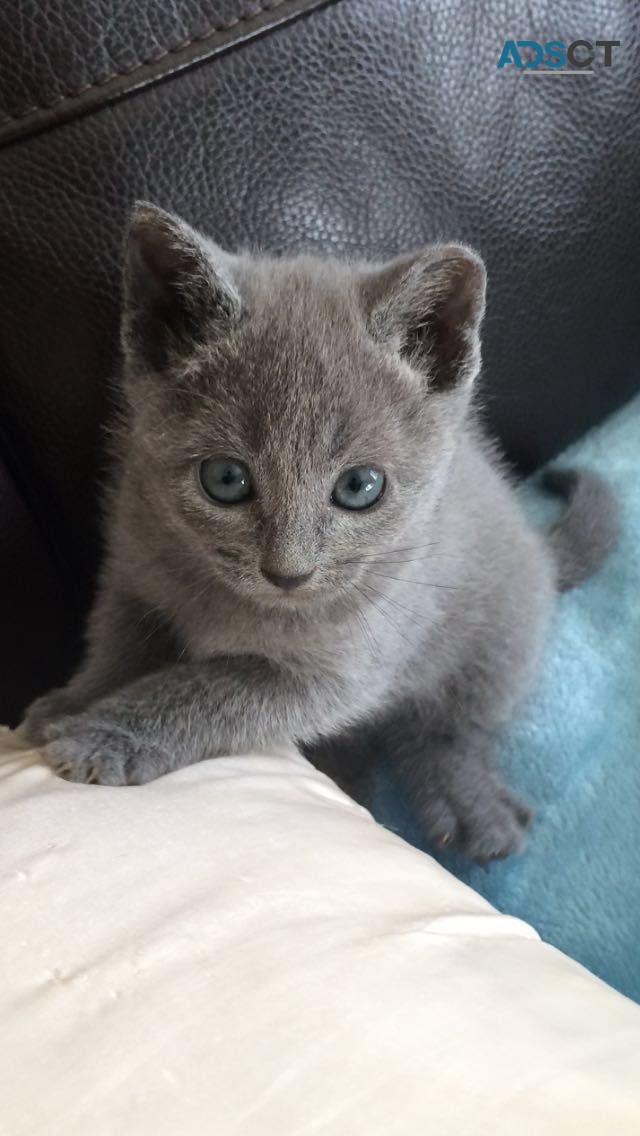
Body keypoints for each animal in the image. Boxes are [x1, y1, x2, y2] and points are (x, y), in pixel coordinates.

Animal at [22, 204, 618, 858]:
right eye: (224, 478)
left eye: (360, 486)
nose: (289, 571)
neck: (228, 599)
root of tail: (537, 545)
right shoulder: (132, 569)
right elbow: (117, 644)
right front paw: (72, 701)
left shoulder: (346, 668)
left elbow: (210, 688)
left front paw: (106, 735)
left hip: (500, 633)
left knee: (453, 725)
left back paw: (463, 802)